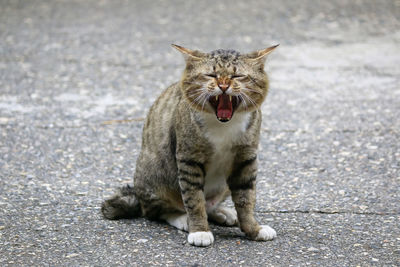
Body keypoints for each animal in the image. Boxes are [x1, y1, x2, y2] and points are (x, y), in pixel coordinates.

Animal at [102, 44, 278, 247]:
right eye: (211, 75)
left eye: (237, 76)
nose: (223, 86)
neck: (223, 125)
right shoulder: (189, 159)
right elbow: (194, 199)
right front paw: (200, 230)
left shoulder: (246, 159)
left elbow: (246, 198)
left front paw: (254, 229)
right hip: (154, 172)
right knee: (158, 211)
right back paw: (182, 218)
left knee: (209, 204)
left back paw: (222, 212)